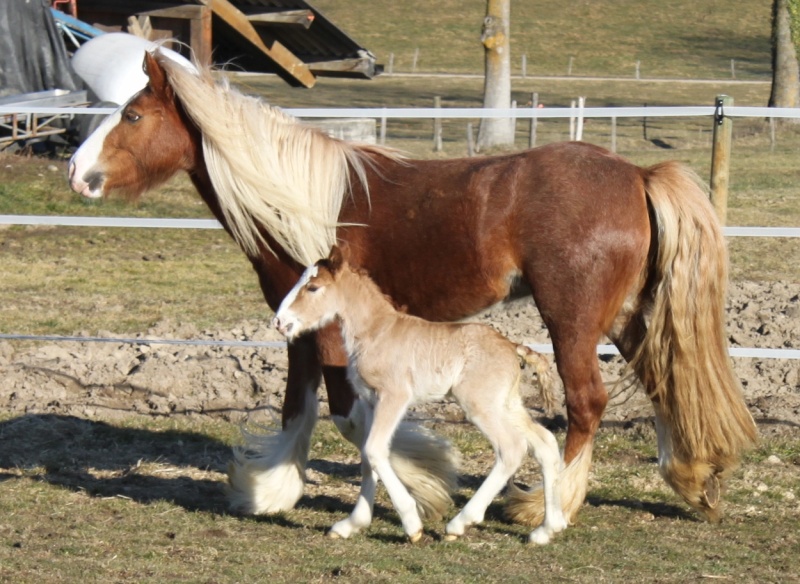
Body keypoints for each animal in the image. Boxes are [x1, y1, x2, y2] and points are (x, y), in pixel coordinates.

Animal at [276, 246, 568, 544]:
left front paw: (412, 525)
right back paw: (547, 529)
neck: (377, 333)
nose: (280, 322)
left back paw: (460, 524)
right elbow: (367, 456)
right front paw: (351, 524)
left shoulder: (393, 396)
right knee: (544, 443)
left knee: (512, 448)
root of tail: (511, 345)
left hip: (480, 405)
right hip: (506, 404)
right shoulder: (370, 401)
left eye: (313, 287)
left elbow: (374, 449)